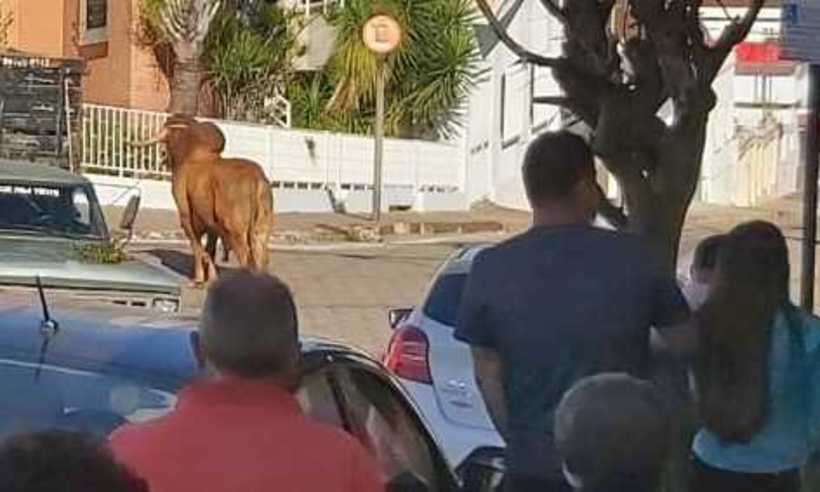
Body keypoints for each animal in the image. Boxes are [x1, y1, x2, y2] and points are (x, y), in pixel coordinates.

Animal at [135, 115, 272, 284]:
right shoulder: (211, 222)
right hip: (261, 228)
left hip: (235, 230)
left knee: (245, 257)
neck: (190, 151)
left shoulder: (186, 216)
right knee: (261, 256)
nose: (161, 153)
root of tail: (256, 179)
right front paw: (212, 278)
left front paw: (199, 278)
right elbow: (210, 249)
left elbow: (197, 248)